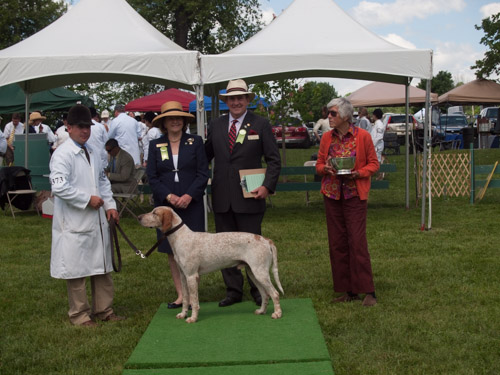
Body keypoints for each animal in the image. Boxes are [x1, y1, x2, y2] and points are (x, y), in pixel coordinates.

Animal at [139, 206, 284, 324]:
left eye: (154, 213)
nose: (139, 217)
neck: (181, 237)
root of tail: (265, 239)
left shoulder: (192, 276)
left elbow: (194, 301)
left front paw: (193, 318)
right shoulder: (183, 277)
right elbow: (185, 299)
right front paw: (183, 314)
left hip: (260, 273)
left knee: (275, 294)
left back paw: (277, 313)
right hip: (253, 273)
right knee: (265, 294)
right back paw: (261, 311)